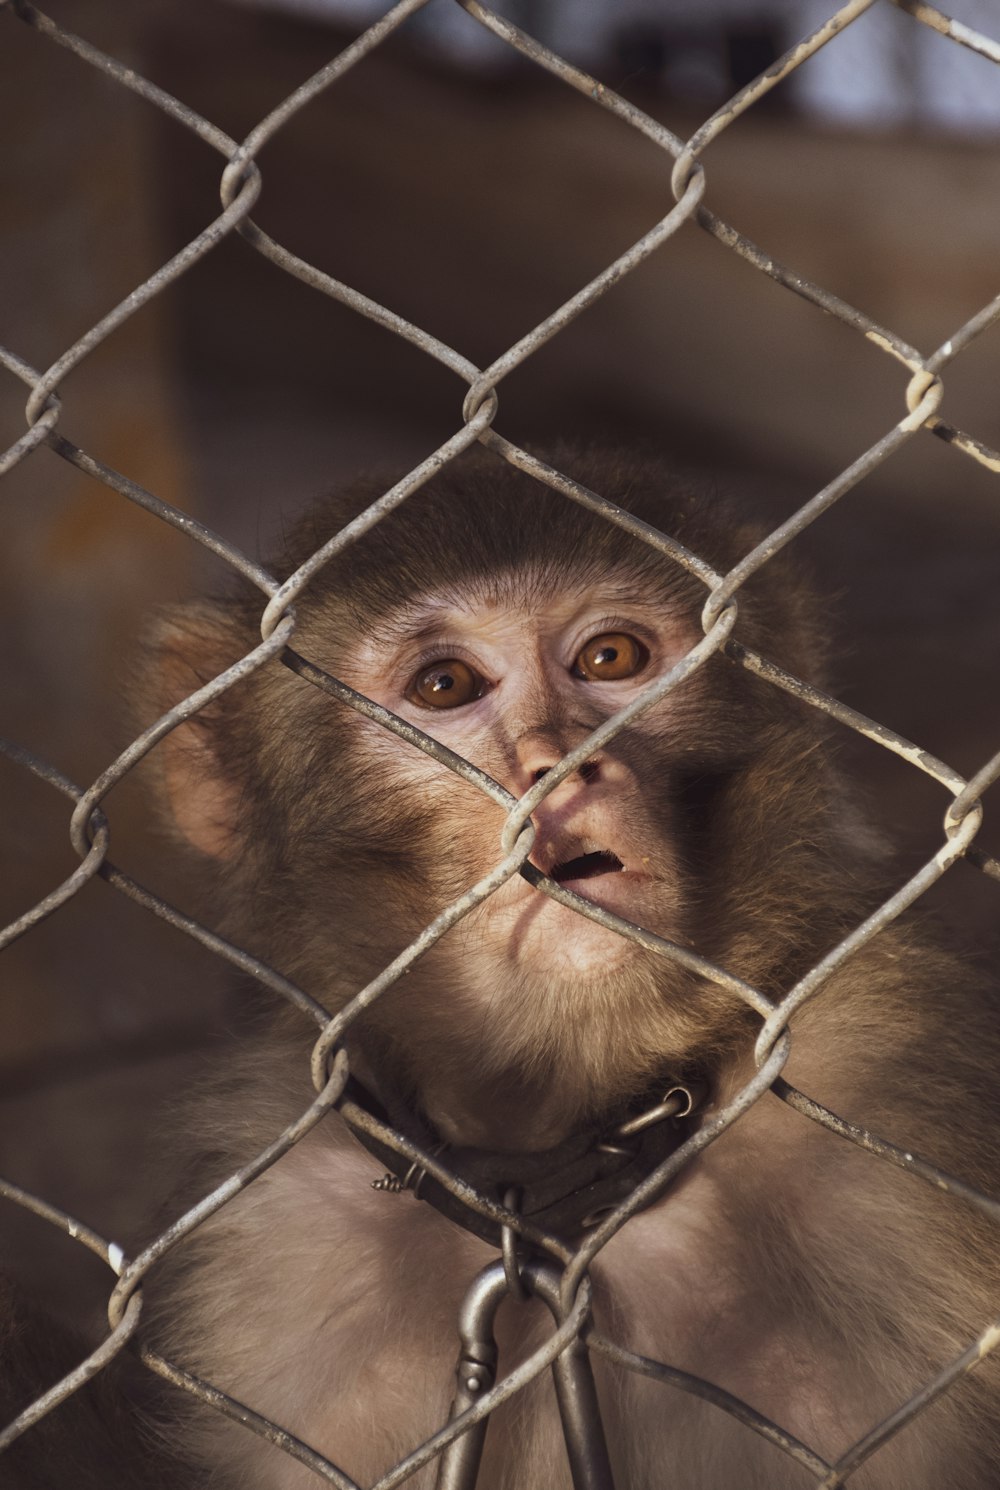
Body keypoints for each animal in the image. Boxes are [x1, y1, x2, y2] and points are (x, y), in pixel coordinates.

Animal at [3, 441, 995, 1490]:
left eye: (612, 658)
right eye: (444, 685)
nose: (560, 766)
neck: (550, 1163)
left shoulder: (897, 1107)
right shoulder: (273, 1250)